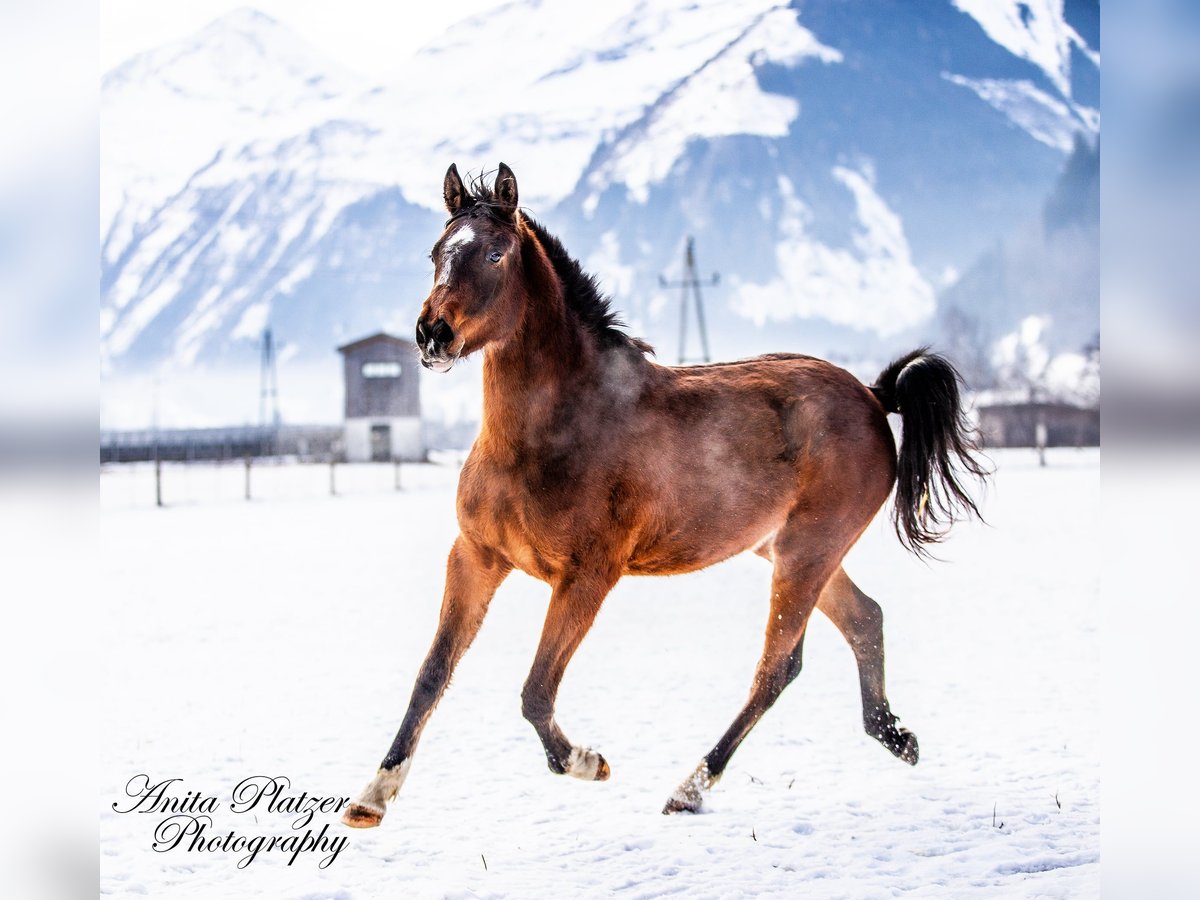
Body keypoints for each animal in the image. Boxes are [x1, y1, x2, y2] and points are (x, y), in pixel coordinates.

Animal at [340, 164, 984, 830]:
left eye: (495, 253)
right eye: (436, 252)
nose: (431, 335)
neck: (550, 432)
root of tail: (875, 396)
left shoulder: (588, 576)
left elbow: (536, 691)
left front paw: (588, 761)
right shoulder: (475, 557)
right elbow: (432, 673)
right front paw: (372, 795)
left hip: (808, 552)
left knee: (778, 667)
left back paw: (690, 787)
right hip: (791, 550)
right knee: (865, 620)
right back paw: (897, 736)